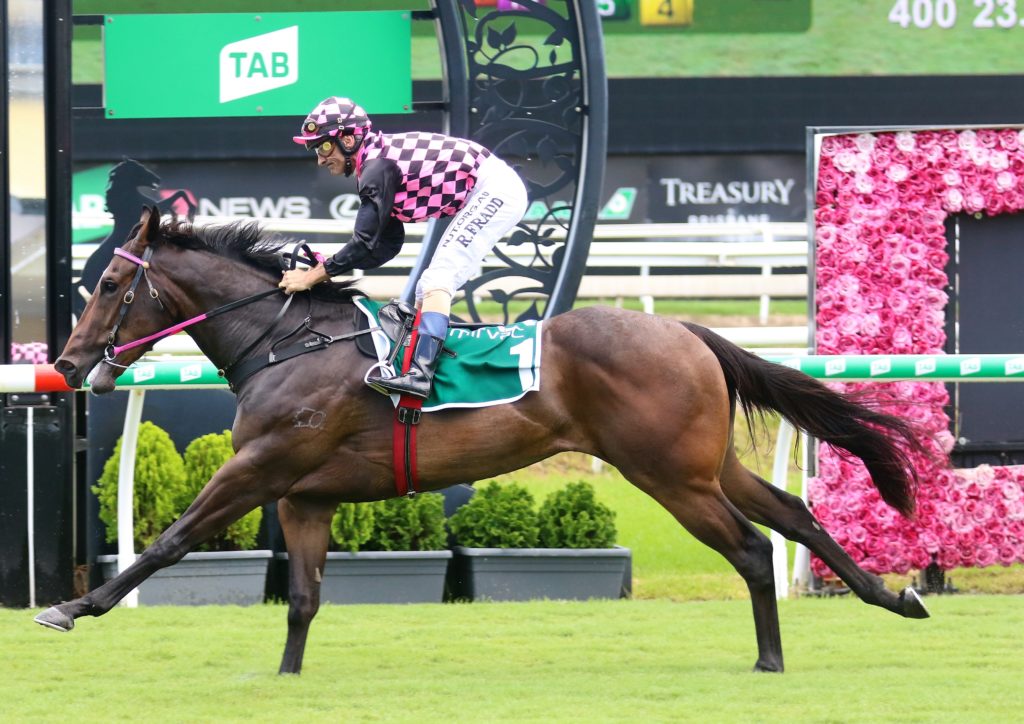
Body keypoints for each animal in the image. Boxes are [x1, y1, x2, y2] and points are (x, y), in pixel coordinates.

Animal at [37, 207, 932, 674]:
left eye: (109, 283)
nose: (67, 364)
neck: (288, 341)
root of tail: (683, 326)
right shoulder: (304, 494)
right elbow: (302, 598)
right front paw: (288, 678)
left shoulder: (261, 467)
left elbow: (171, 540)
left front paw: (73, 607)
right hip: (703, 465)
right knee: (794, 515)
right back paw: (895, 597)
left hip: (670, 476)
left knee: (750, 548)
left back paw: (770, 660)